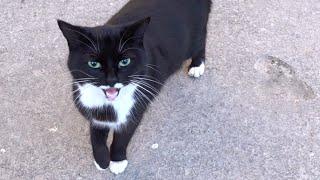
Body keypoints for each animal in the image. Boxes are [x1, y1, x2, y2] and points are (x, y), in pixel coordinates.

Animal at [57, 0, 212, 174]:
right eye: (93, 64)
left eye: (125, 61)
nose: (111, 79)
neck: (109, 104)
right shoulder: (91, 108)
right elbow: (95, 134)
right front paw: (102, 160)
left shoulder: (135, 107)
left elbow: (122, 137)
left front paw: (117, 161)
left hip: (196, 31)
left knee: (200, 42)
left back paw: (197, 65)